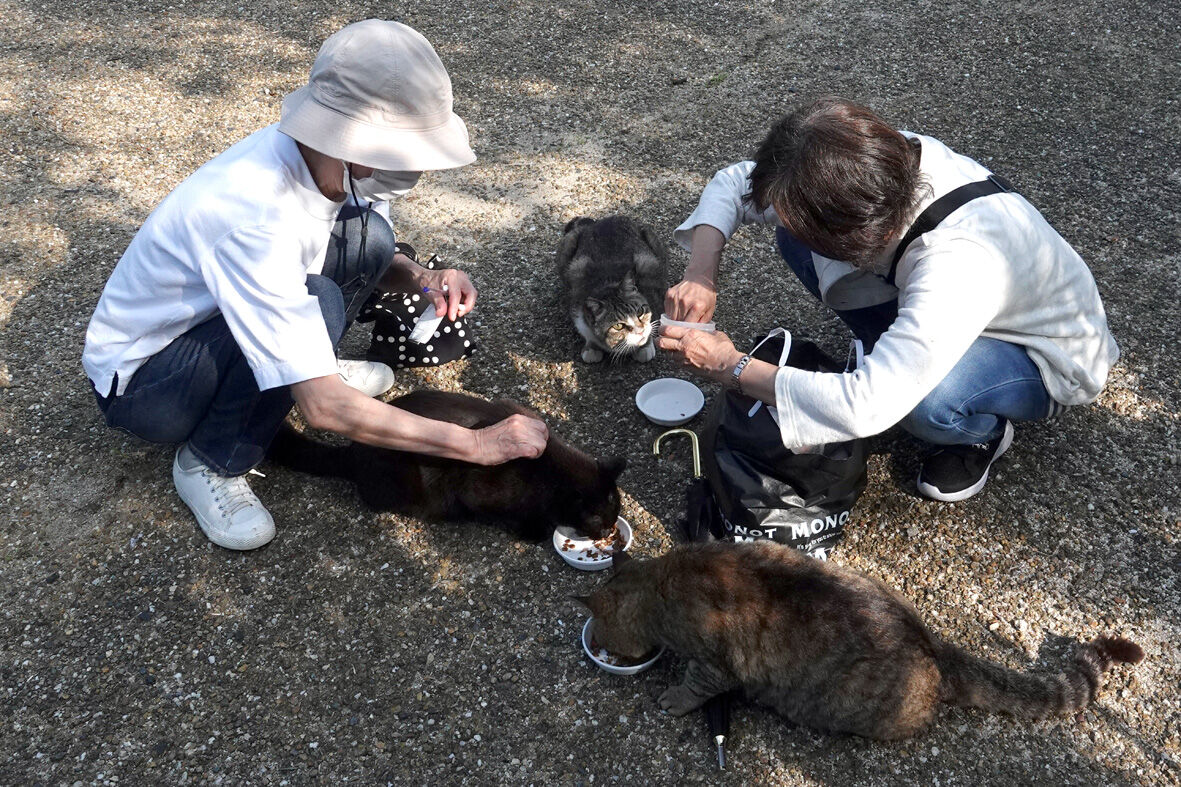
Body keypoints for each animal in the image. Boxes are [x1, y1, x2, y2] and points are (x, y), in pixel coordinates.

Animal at [269, 390, 625, 541]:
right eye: (597, 519)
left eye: (615, 511)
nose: (608, 531)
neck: (555, 475)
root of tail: (354, 449)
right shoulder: (478, 487)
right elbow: (509, 515)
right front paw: (533, 530)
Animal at [556, 215, 668, 363]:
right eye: (618, 326)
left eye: (640, 312)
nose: (640, 331)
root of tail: (600, 221)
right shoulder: (576, 306)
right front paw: (591, 348)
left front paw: (645, 347)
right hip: (567, 246)